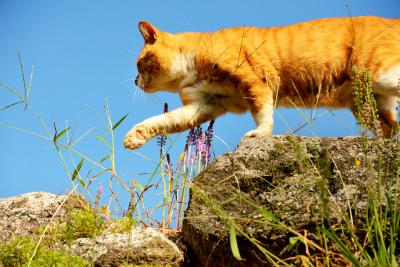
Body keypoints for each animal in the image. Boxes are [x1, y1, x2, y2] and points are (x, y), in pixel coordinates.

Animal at [123, 16, 398, 151]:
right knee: (391, 128)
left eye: (138, 64)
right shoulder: (203, 106)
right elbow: (164, 121)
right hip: (367, 103)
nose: (135, 81)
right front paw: (134, 136)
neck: (189, 68)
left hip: (379, 74)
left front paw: (260, 134)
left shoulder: (252, 80)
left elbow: (262, 112)